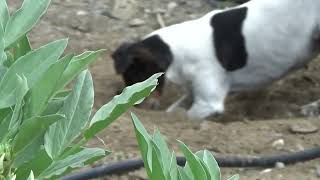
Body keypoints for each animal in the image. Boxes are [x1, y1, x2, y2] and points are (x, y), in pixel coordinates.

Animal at [112, 0, 320, 119]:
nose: (131, 107)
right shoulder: (193, 93)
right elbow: (174, 109)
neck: (179, 51)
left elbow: (187, 116)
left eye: (136, 77)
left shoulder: (208, 103)